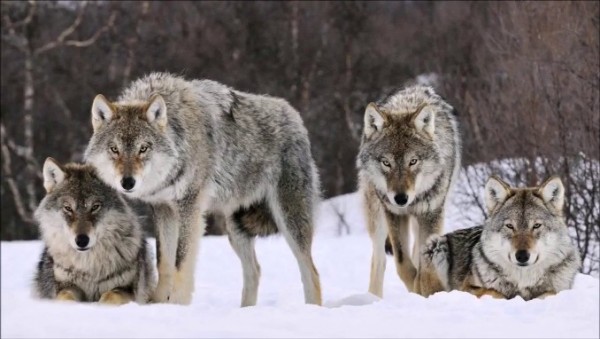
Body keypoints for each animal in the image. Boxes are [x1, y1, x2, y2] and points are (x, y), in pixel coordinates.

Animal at [33, 159, 156, 306]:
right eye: (68, 208)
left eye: (95, 207)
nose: (81, 240)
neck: (89, 266)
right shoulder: (65, 286)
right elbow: (65, 296)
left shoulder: (127, 289)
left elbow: (111, 296)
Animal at [83, 73, 324, 306]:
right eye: (114, 149)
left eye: (143, 148)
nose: (127, 182)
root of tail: (294, 116)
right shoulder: (163, 209)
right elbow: (164, 262)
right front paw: (158, 303)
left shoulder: (189, 208)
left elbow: (181, 262)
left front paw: (177, 305)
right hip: (235, 228)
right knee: (255, 271)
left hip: (289, 221)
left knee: (311, 272)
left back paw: (311, 308)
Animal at [356, 85, 464, 298]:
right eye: (386, 162)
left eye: (413, 161)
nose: (400, 198)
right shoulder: (394, 214)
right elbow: (402, 263)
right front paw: (415, 287)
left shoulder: (431, 214)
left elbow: (422, 264)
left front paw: (423, 290)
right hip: (377, 217)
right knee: (379, 260)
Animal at [422, 175, 580, 300]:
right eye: (510, 226)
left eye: (536, 226)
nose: (522, 256)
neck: (523, 280)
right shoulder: (466, 288)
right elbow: (494, 291)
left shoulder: (559, 290)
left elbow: (550, 293)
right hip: (436, 245)